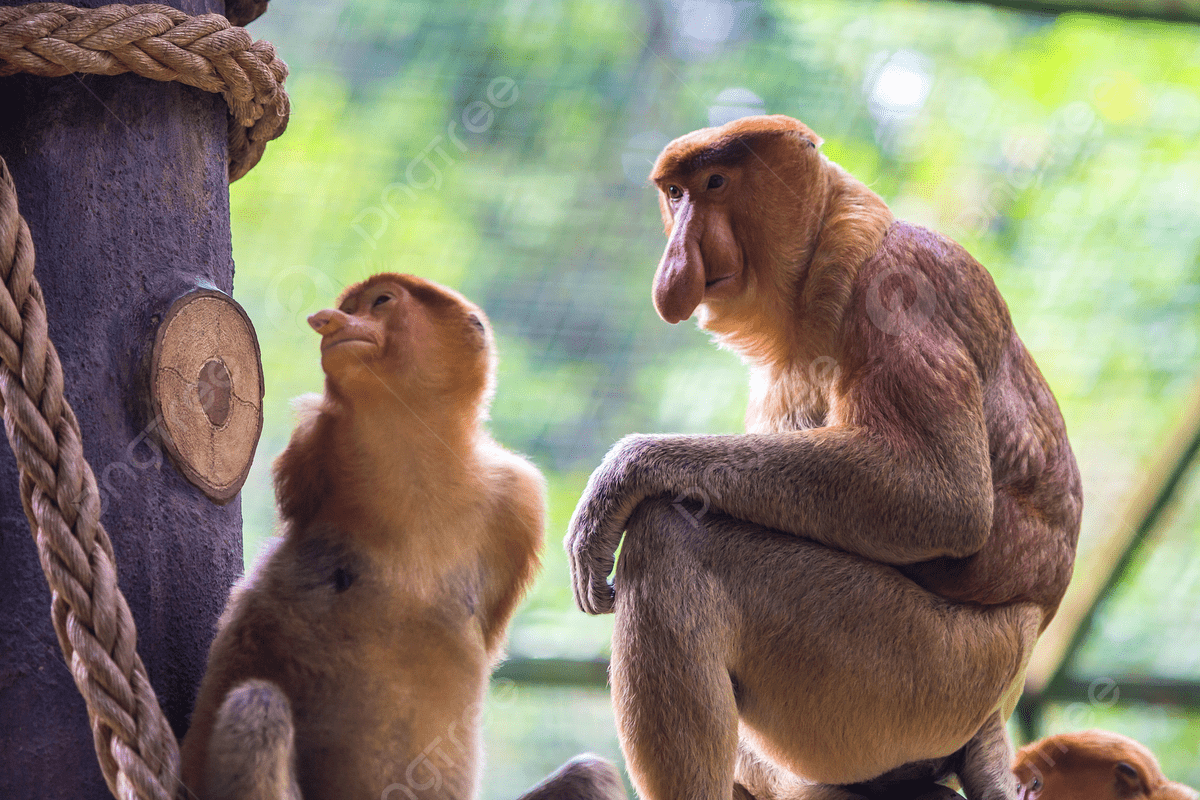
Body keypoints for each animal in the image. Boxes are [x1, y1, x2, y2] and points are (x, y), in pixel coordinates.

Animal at [180, 273, 625, 800]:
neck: (413, 458)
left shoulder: (517, 501)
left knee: (592, 773)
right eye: (348, 306)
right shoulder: (309, 455)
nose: (328, 321)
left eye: (380, 302)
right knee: (257, 705)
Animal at [565, 115, 1082, 800]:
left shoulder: (896, 287)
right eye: (676, 194)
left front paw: (620, 478)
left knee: (672, 539)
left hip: (920, 671)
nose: (677, 260)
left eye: (716, 182)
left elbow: (940, 495)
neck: (822, 257)